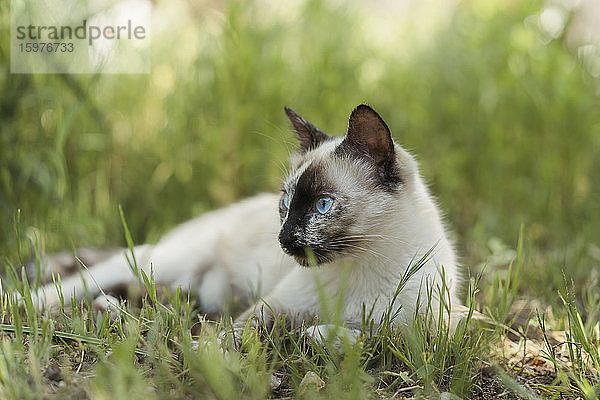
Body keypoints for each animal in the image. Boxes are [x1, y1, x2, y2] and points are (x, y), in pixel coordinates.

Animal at [30, 104, 462, 340]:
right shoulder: (268, 308)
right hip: (160, 262)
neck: (360, 268)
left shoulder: (422, 332)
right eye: (285, 203)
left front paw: (322, 335)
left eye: (322, 205)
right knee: (84, 280)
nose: (284, 239)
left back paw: (114, 310)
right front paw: (210, 356)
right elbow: (234, 336)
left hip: (187, 289)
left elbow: (360, 336)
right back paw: (27, 303)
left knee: (156, 300)